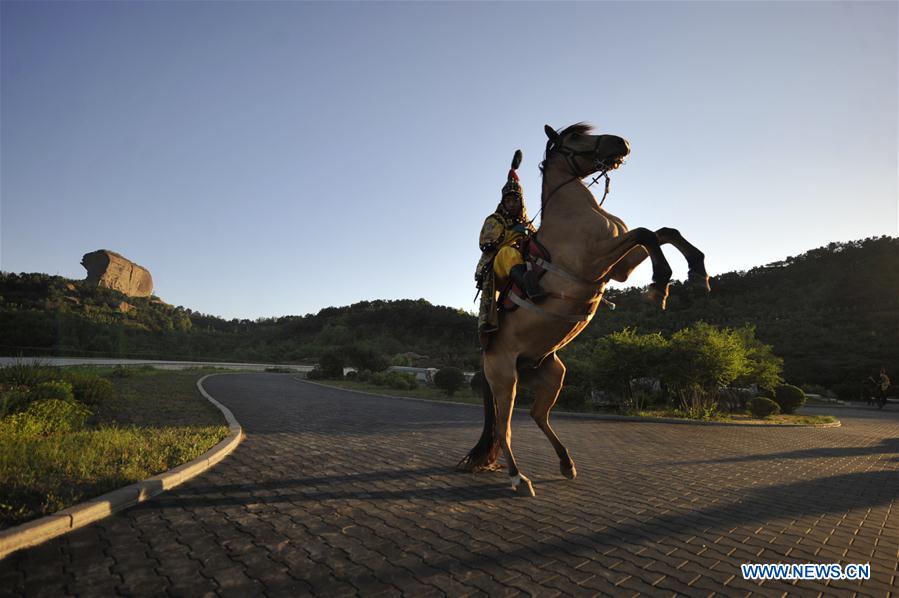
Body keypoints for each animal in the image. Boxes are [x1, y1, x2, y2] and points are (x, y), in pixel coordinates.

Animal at [458, 122, 712, 496]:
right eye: (576, 136)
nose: (623, 143)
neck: (575, 213)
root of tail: (486, 356)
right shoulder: (596, 260)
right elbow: (646, 233)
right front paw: (660, 284)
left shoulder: (619, 267)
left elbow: (663, 231)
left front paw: (697, 272)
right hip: (506, 380)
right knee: (504, 429)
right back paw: (520, 478)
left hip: (552, 375)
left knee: (538, 415)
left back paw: (566, 463)